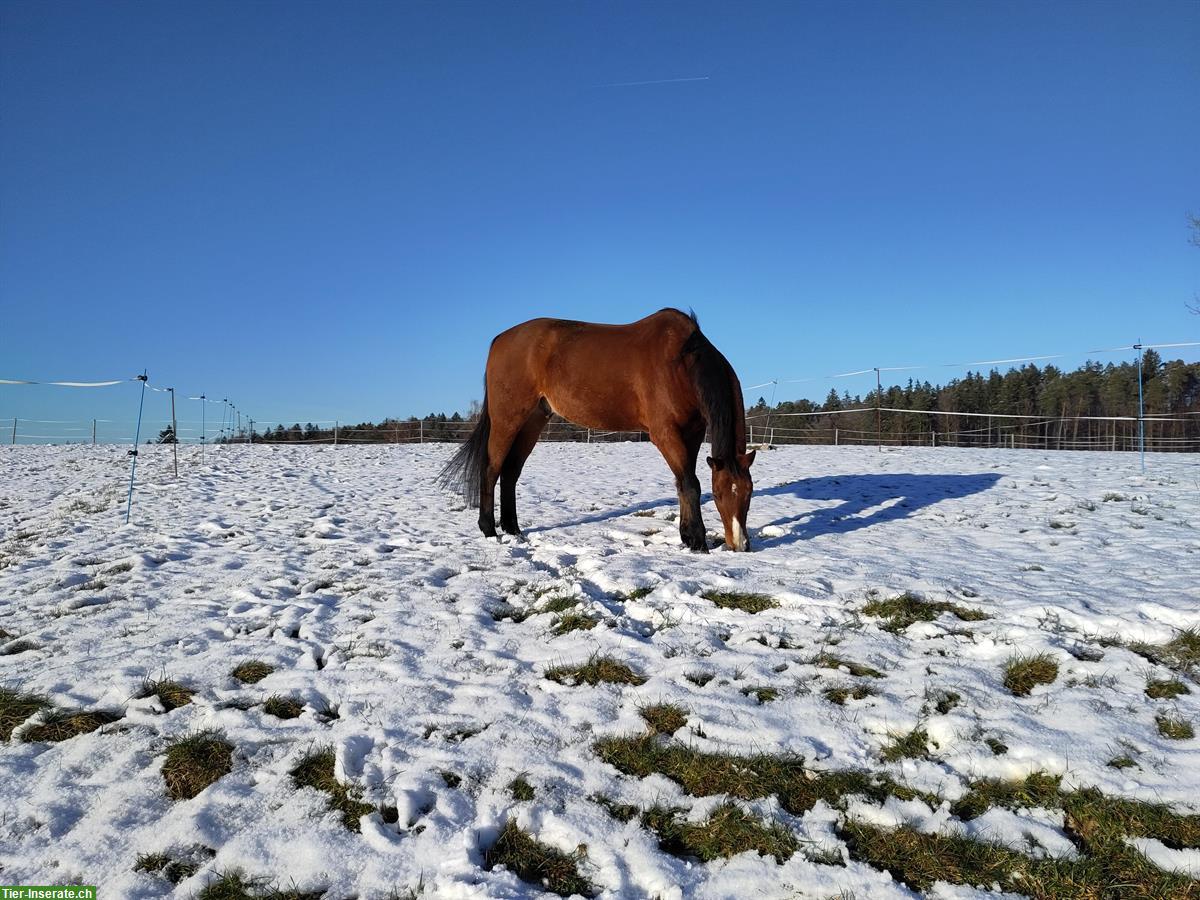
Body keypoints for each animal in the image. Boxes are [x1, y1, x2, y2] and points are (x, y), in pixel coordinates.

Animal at [441, 309, 753, 549]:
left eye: (749, 493)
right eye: (720, 495)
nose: (740, 544)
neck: (681, 362)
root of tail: (499, 340)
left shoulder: (694, 433)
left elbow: (683, 483)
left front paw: (688, 537)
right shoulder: (666, 434)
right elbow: (690, 483)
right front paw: (698, 542)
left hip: (532, 421)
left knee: (510, 472)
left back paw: (513, 528)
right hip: (508, 419)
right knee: (491, 469)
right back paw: (488, 529)